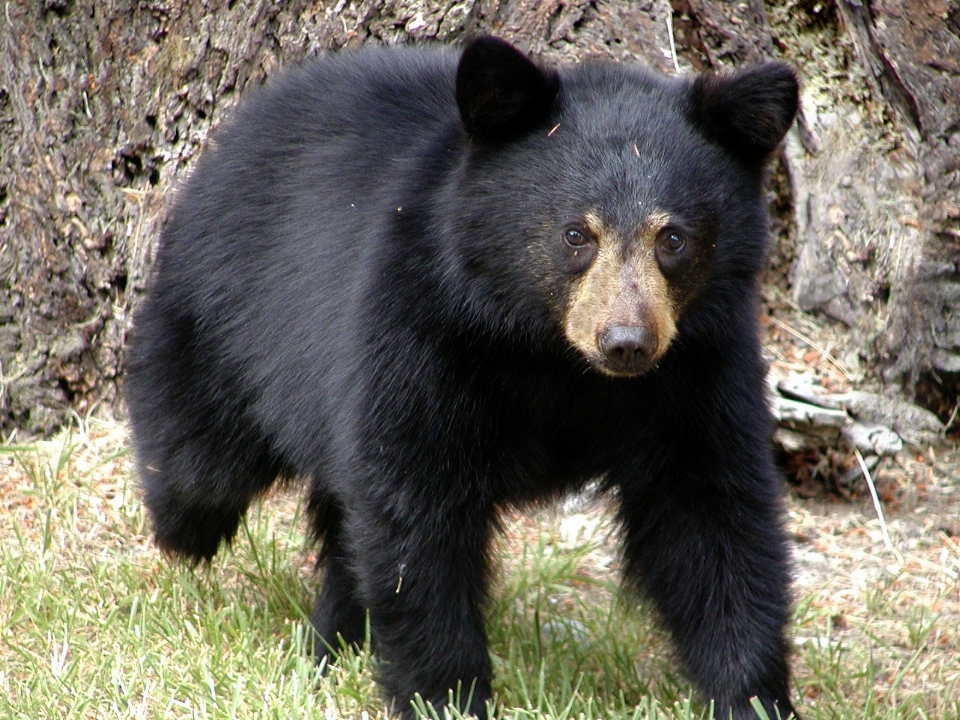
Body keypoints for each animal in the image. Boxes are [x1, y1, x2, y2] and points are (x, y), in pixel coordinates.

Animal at [127, 35, 804, 720]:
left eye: (674, 238)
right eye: (575, 233)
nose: (626, 343)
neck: (553, 355)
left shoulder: (698, 368)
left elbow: (711, 516)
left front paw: (753, 695)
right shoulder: (422, 330)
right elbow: (417, 512)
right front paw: (446, 693)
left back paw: (331, 643)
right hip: (231, 312)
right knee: (202, 456)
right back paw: (184, 534)